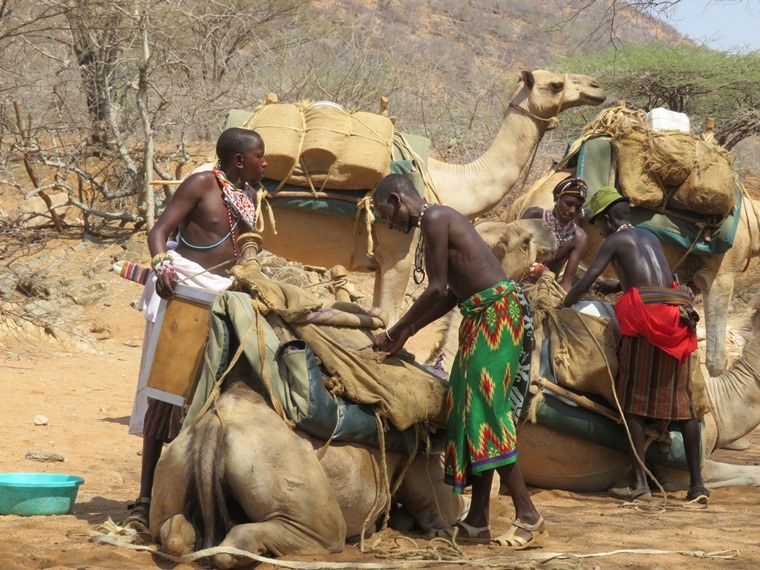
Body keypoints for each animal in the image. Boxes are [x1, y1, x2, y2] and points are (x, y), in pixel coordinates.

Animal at [151, 362, 466, 564]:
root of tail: (218, 422)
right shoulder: (417, 455)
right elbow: (435, 500)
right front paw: (440, 529)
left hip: (175, 460)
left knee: (171, 526)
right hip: (279, 463)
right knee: (325, 532)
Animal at [249, 69, 604, 322]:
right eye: (556, 84)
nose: (597, 87)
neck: (449, 185)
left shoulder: (383, 262)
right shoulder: (400, 257)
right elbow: (390, 318)